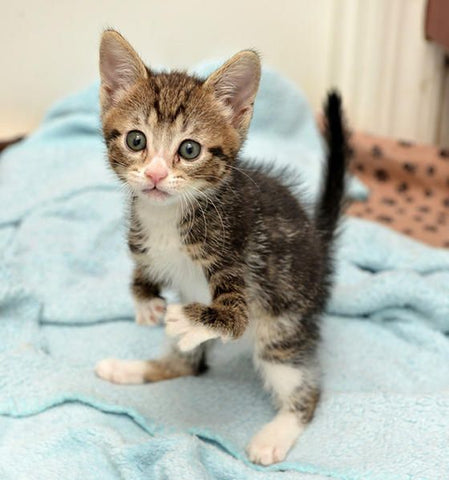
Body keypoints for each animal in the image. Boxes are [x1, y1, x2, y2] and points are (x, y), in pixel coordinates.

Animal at [94, 30, 346, 464]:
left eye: (189, 149)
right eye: (136, 140)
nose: (156, 174)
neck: (170, 217)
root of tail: (318, 242)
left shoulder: (234, 253)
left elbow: (233, 318)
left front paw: (190, 318)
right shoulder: (145, 245)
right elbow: (143, 270)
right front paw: (145, 303)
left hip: (282, 324)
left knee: (303, 385)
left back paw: (275, 434)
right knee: (187, 365)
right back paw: (128, 368)